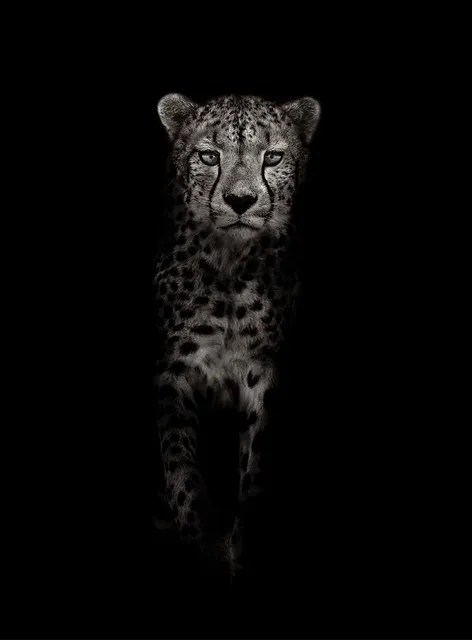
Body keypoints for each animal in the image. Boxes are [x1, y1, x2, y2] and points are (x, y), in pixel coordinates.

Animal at [153, 92, 321, 579]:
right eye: (210, 156)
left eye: (273, 157)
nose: (241, 200)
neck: (230, 265)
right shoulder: (176, 369)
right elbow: (180, 459)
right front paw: (203, 542)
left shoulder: (263, 372)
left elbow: (258, 457)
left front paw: (247, 547)